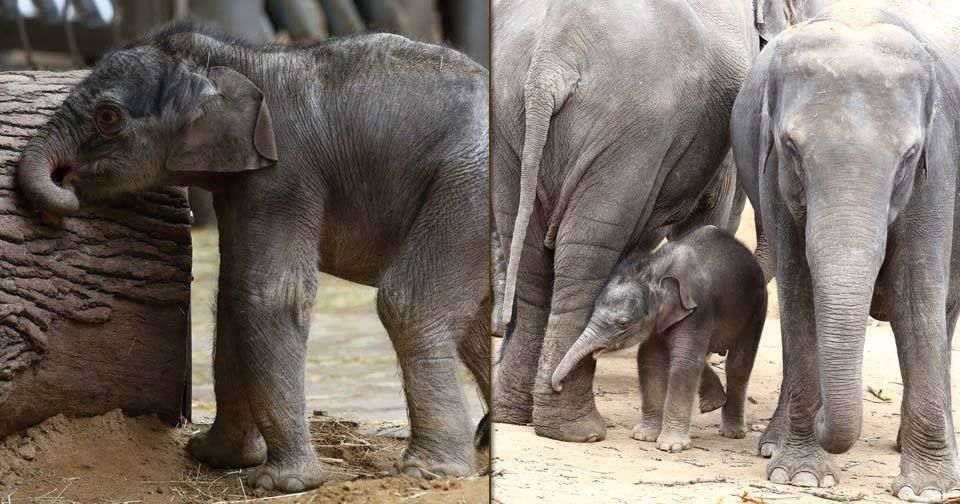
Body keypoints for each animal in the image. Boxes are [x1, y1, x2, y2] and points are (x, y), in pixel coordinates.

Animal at [556, 226, 764, 450]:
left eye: (622, 323)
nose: (558, 386)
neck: (657, 272)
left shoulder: (698, 310)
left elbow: (685, 362)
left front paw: (670, 446)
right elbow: (650, 359)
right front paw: (643, 436)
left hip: (758, 308)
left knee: (738, 364)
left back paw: (732, 433)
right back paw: (713, 404)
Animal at [732, 1, 960, 500]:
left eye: (909, 156)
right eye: (792, 149)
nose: (822, 419)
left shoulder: (940, 165)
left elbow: (915, 292)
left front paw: (928, 490)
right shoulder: (772, 172)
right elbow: (799, 288)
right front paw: (801, 474)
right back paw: (773, 443)